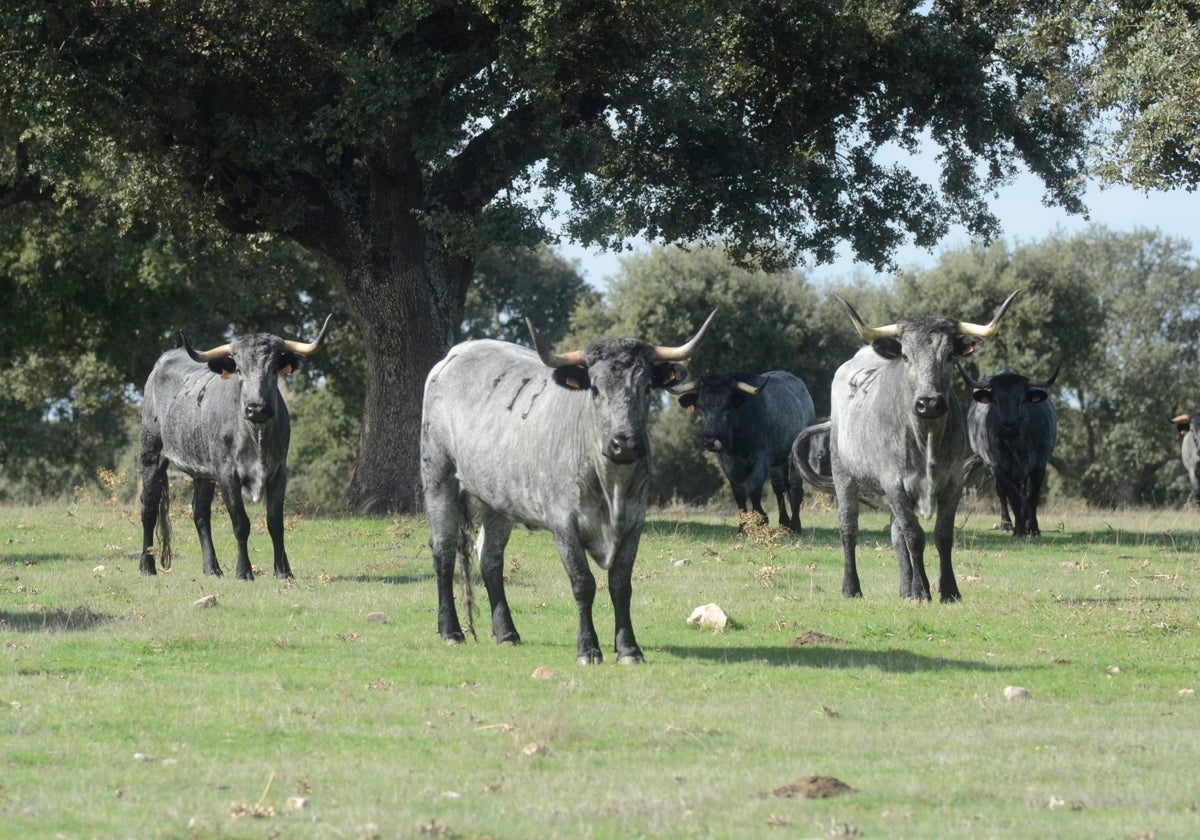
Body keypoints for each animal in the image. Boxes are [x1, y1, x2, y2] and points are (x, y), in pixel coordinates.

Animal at [138, 314, 331, 578]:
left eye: (273, 369)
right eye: (239, 369)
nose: (256, 408)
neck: (256, 435)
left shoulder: (279, 472)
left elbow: (275, 522)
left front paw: (283, 571)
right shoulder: (227, 474)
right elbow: (241, 523)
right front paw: (244, 571)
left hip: (202, 472)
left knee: (200, 514)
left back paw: (212, 568)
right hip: (151, 454)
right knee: (148, 508)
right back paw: (146, 566)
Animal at [420, 309, 710, 662]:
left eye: (646, 389)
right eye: (595, 390)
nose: (625, 443)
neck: (611, 486)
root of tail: (455, 354)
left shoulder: (634, 523)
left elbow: (620, 584)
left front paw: (628, 648)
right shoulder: (564, 524)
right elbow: (583, 583)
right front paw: (588, 648)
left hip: (497, 498)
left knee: (490, 557)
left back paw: (507, 632)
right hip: (438, 476)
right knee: (444, 550)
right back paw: (451, 630)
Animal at [672, 369, 820, 528]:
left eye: (727, 405)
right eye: (700, 406)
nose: (710, 440)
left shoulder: (762, 458)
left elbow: (754, 488)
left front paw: (761, 519)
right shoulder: (726, 462)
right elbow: (739, 493)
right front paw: (742, 527)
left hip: (797, 455)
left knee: (795, 487)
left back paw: (795, 525)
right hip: (778, 463)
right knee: (779, 487)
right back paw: (784, 523)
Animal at [796, 291, 1022, 600]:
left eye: (949, 355)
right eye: (905, 356)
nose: (929, 403)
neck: (925, 438)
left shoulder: (953, 482)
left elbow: (942, 534)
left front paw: (947, 590)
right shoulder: (894, 483)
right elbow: (915, 536)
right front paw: (922, 590)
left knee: (895, 533)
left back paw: (904, 588)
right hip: (844, 476)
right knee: (849, 528)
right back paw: (852, 587)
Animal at [964, 364, 1060, 537]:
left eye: (1023, 400)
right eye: (995, 401)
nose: (1008, 428)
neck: (1014, 445)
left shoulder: (1039, 465)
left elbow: (1032, 497)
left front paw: (1032, 528)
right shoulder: (998, 466)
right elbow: (1012, 497)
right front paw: (1019, 530)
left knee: (1023, 492)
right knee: (1002, 493)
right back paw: (1007, 524)